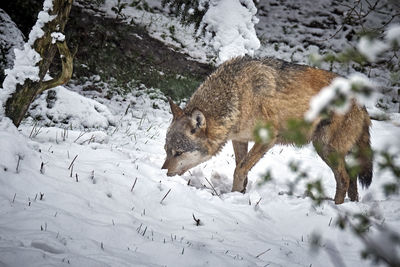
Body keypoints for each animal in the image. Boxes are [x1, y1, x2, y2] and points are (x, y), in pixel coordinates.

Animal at [160, 56, 372, 203]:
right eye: (166, 151)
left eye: (179, 153)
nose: (162, 173)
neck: (238, 96)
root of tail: (361, 102)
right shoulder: (239, 139)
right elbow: (241, 166)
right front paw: (242, 193)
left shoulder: (267, 139)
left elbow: (240, 169)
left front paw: (234, 195)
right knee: (351, 178)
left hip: (325, 149)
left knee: (344, 179)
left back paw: (337, 208)